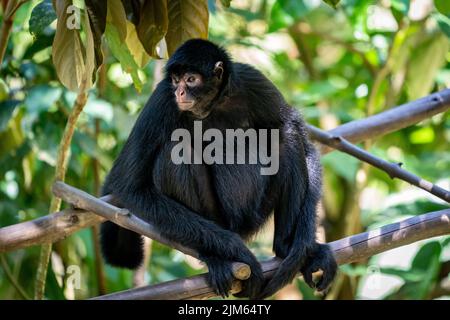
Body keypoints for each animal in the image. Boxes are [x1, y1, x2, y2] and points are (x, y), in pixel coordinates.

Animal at [100, 38, 336, 298]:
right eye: (175, 80)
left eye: (190, 79)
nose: (179, 91)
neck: (212, 106)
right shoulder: (163, 99)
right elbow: (129, 185)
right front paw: (240, 253)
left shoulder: (251, 79)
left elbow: (302, 140)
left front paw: (304, 244)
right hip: (216, 218)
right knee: (175, 148)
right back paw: (216, 256)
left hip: (256, 212)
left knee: (285, 135)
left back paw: (286, 248)